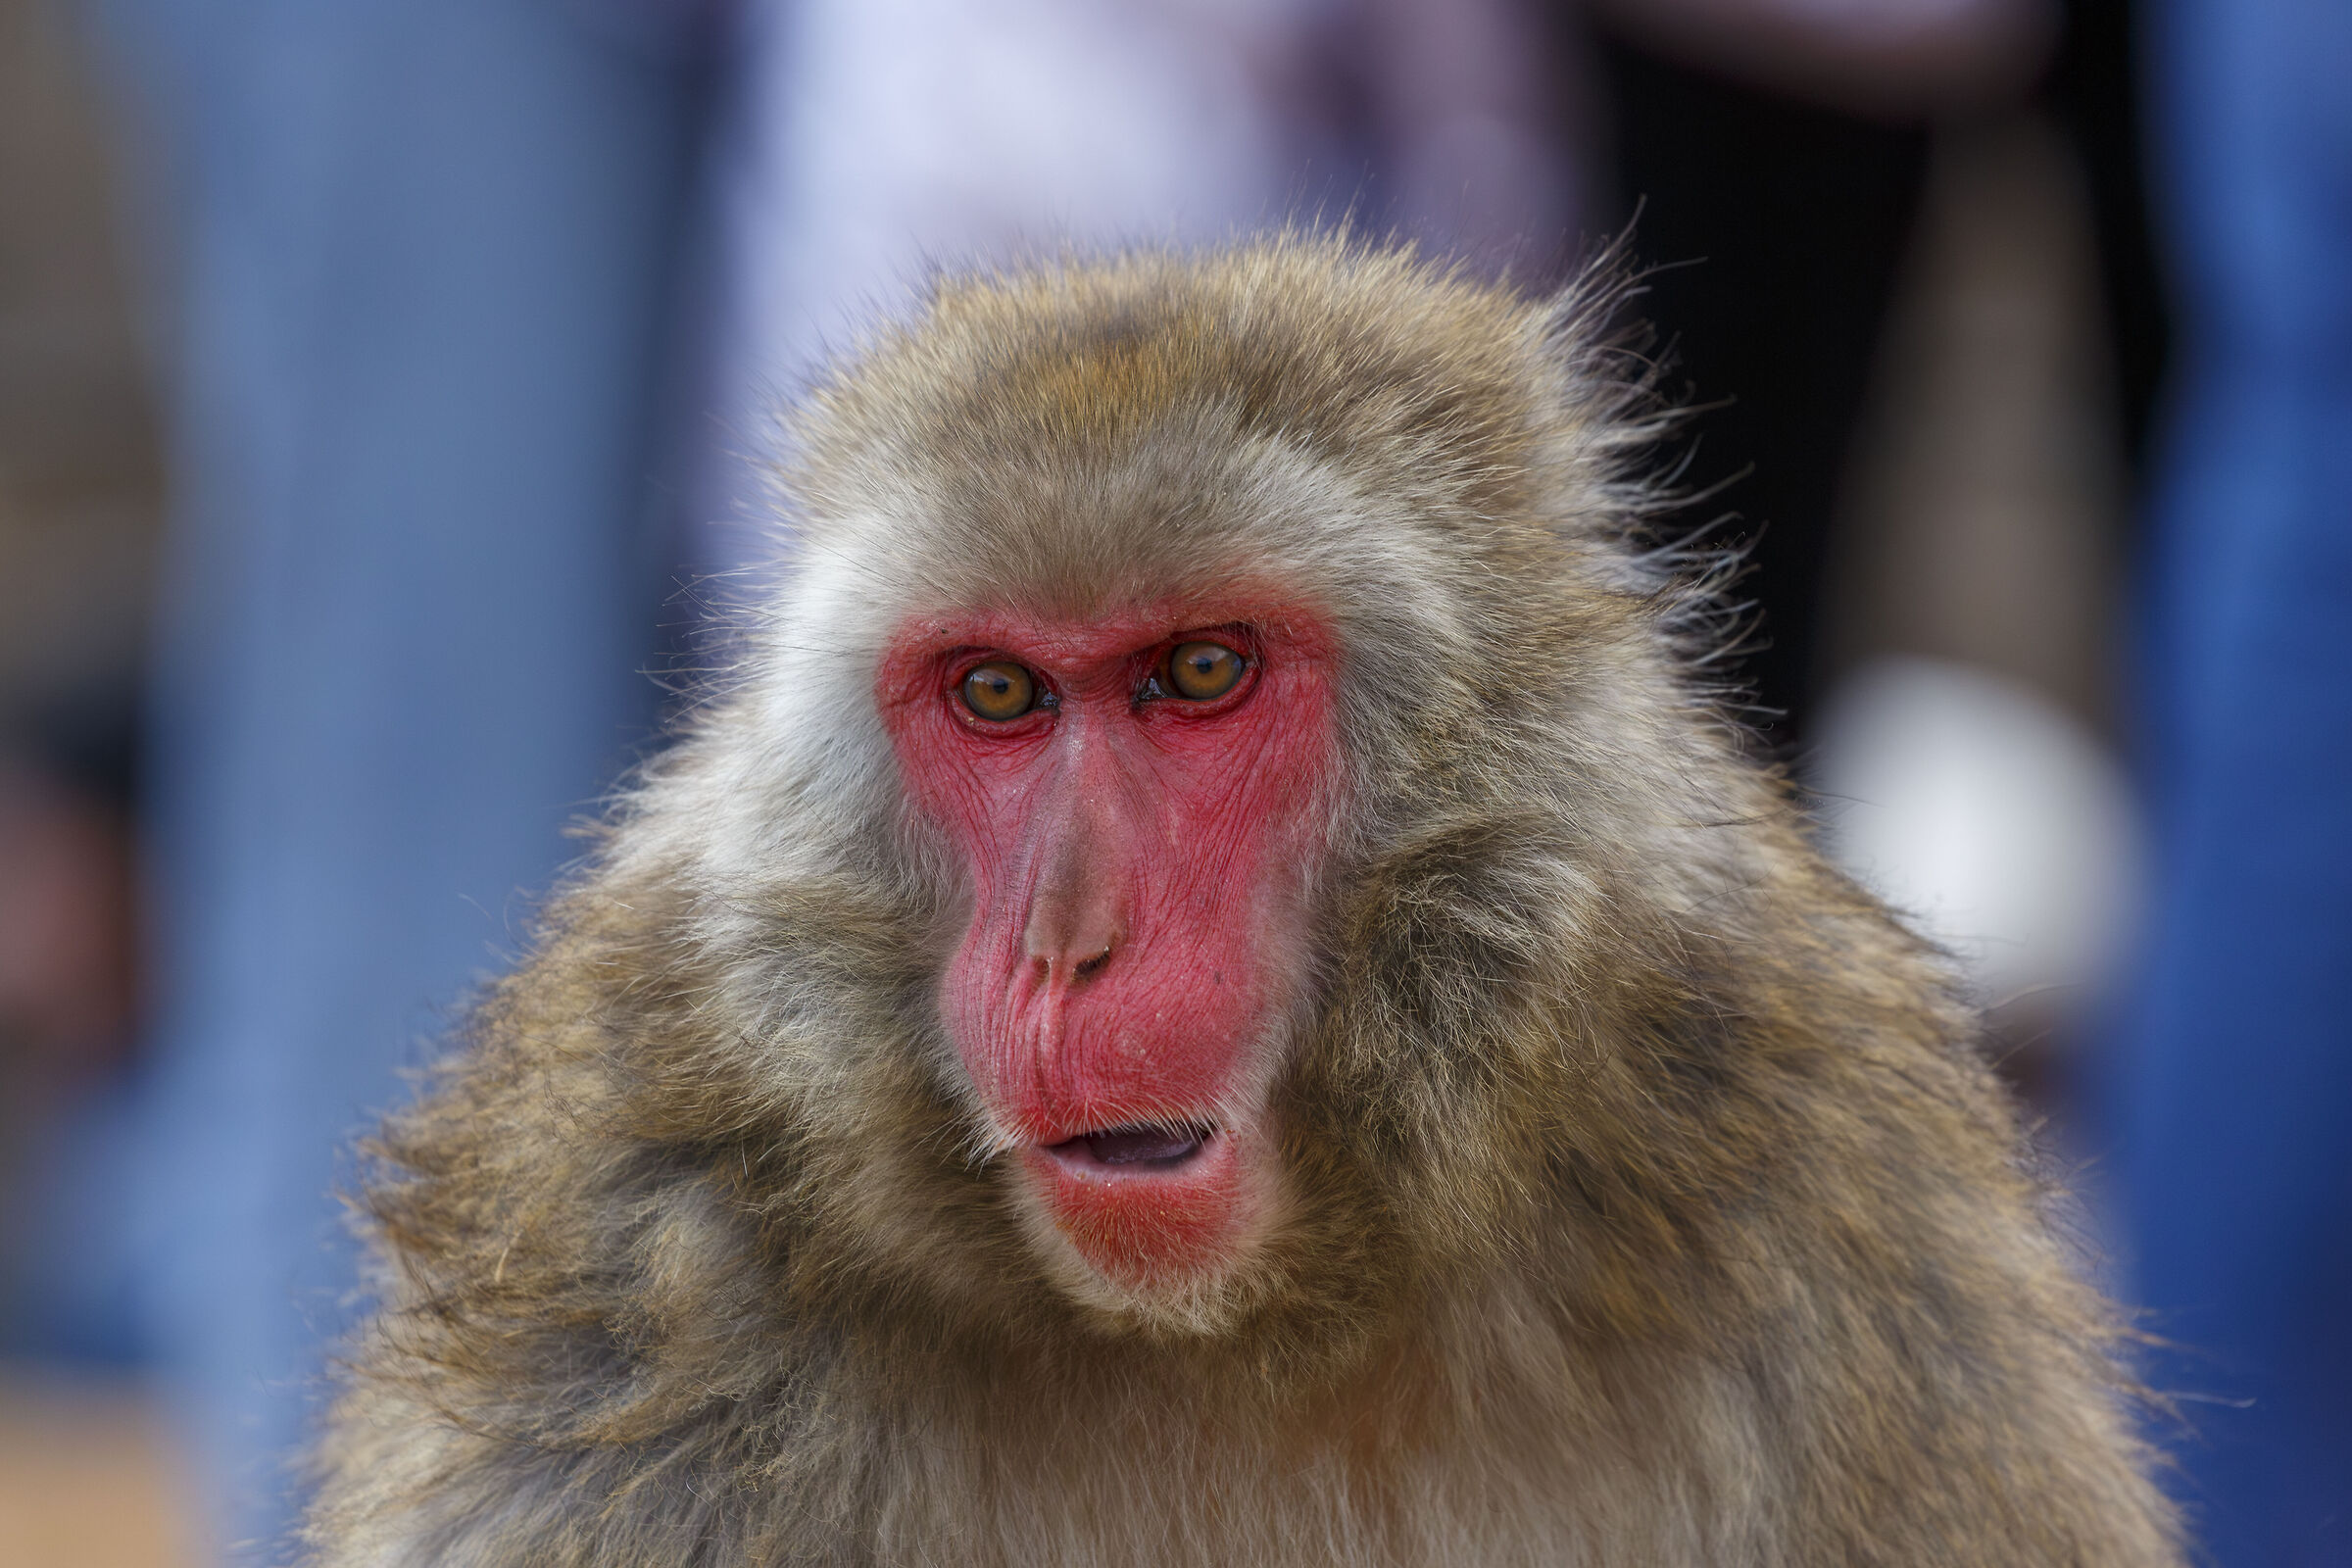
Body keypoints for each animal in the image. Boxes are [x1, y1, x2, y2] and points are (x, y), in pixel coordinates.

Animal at [302, 237, 2180, 1567]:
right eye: (999, 694)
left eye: (1200, 671)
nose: (1068, 946)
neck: (1248, 1319)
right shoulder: (627, 1270)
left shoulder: (1847, 1215)